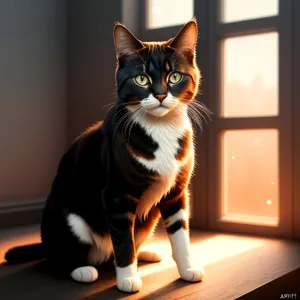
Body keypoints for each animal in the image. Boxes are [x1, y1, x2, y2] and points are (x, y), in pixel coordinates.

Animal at [4, 17, 207, 292]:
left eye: (175, 76)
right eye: (141, 79)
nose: (161, 94)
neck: (161, 128)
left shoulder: (176, 192)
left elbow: (180, 236)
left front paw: (187, 269)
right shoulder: (116, 195)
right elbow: (123, 241)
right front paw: (128, 279)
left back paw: (146, 253)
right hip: (67, 220)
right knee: (58, 259)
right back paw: (82, 270)